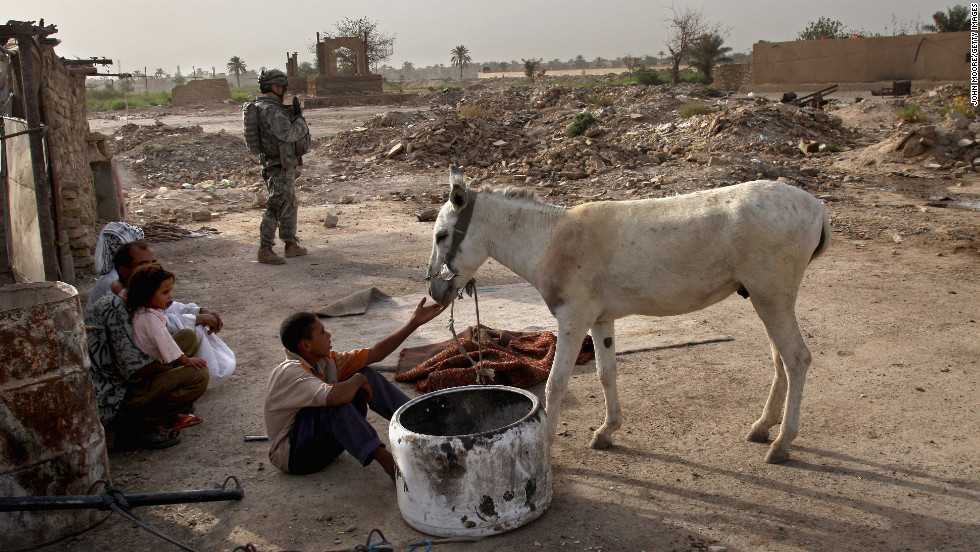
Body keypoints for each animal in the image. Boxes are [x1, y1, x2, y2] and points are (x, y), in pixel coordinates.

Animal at [424, 165, 832, 462]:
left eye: (442, 235)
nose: (434, 291)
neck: (551, 240)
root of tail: (817, 207)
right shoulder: (601, 320)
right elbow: (607, 374)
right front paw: (607, 431)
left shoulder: (572, 321)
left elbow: (557, 382)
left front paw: (547, 443)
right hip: (767, 301)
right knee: (780, 360)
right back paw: (763, 428)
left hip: (771, 299)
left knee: (797, 360)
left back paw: (782, 443)